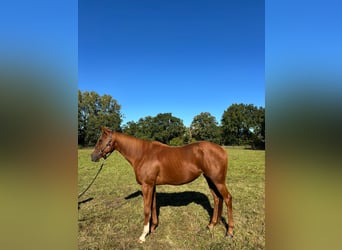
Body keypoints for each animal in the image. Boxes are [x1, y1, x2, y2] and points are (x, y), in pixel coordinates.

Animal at [91, 127, 234, 242]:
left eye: (100, 140)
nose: (92, 157)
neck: (142, 154)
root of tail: (221, 149)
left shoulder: (146, 185)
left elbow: (146, 209)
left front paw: (143, 235)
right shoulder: (152, 185)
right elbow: (153, 206)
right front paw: (153, 228)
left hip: (218, 181)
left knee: (227, 199)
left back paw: (229, 232)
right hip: (210, 180)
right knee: (217, 199)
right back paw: (211, 225)